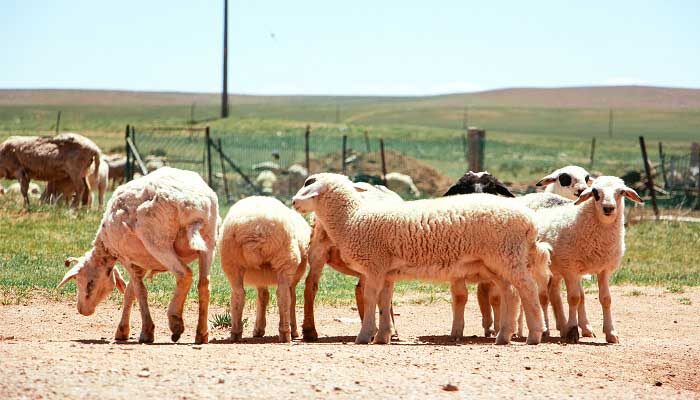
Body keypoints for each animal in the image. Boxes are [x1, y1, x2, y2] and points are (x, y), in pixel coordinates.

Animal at [59, 167, 220, 346]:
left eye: (88, 283)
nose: (82, 310)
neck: (105, 247)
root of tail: (194, 203)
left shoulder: (127, 259)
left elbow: (139, 291)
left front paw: (146, 331)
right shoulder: (141, 263)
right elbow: (130, 292)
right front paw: (122, 330)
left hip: (158, 241)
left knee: (184, 274)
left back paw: (175, 322)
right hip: (209, 241)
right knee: (204, 284)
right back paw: (201, 334)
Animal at [216, 195, 308, 342]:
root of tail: (255, 229)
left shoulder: (260, 277)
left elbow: (263, 296)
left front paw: (258, 329)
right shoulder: (292, 280)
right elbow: (292, 300)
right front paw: (294, 330)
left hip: (231, 262)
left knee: (238, 295)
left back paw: (235, 333)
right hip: (286, 259)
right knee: (283, 296)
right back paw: (285, 333)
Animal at [524, 176, 644, 344]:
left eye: (621, 192)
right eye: (595, 192)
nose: (608, 208)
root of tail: (534, 195)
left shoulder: (603, 269)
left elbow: (605, 299)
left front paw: (611, 333)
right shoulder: (571, 269)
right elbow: (574, 298)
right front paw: (572, 331)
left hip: (556, 269)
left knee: (555, 294)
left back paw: (566, 327)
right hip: (537, 266)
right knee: (543, 297)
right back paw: (545, 329)